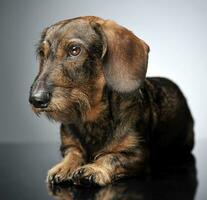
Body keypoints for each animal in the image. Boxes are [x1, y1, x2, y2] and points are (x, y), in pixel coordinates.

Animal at [29, 16, 194, 186]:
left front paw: (93, 169)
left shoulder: (137, 154)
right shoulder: (69, 146)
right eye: (42, 53)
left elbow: (111, 157)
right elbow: (74, 154)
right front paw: (63, 167)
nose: (36, 100)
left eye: (75, 50)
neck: (91, 116)